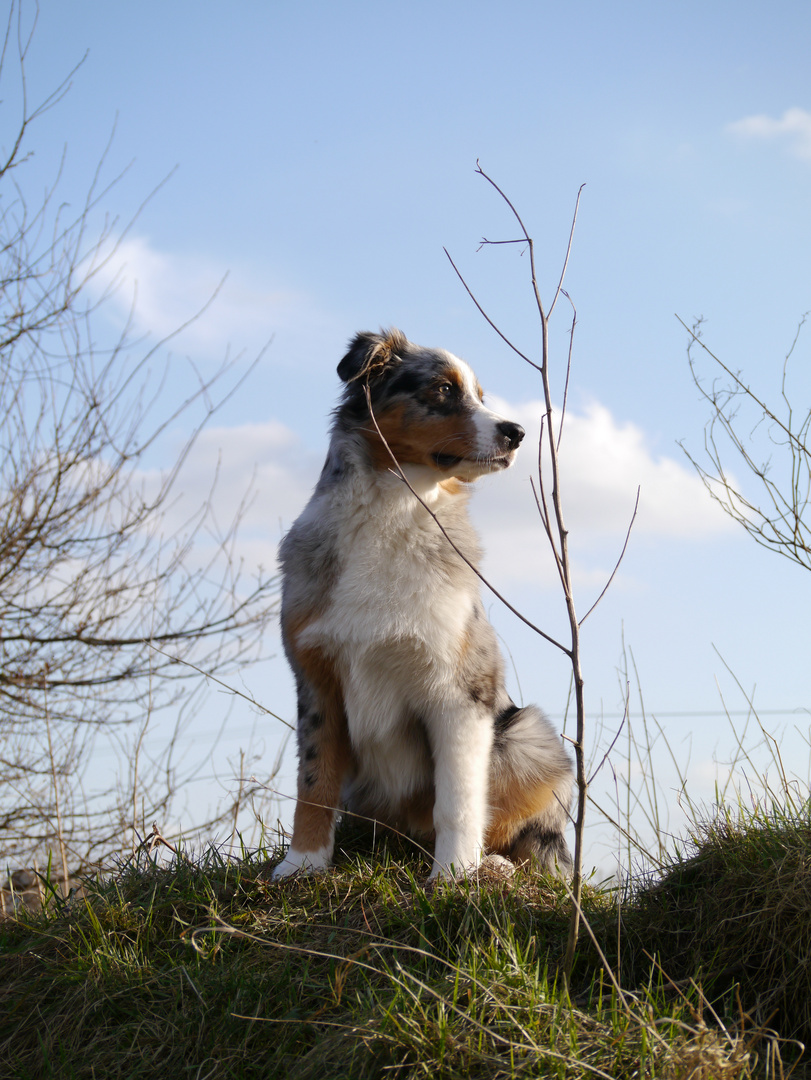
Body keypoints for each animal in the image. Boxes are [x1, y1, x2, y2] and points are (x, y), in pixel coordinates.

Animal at [276, 332, 574, 881]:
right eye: (442, 389)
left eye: (480, 395)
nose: (517, 432)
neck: (393, 510)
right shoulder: (316, 678)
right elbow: (314, 780)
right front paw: (302, 865)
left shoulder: (461, 690)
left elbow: (456, 797)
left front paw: (454, 877)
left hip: (526, 734)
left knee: (524, 837)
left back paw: (494, 865)